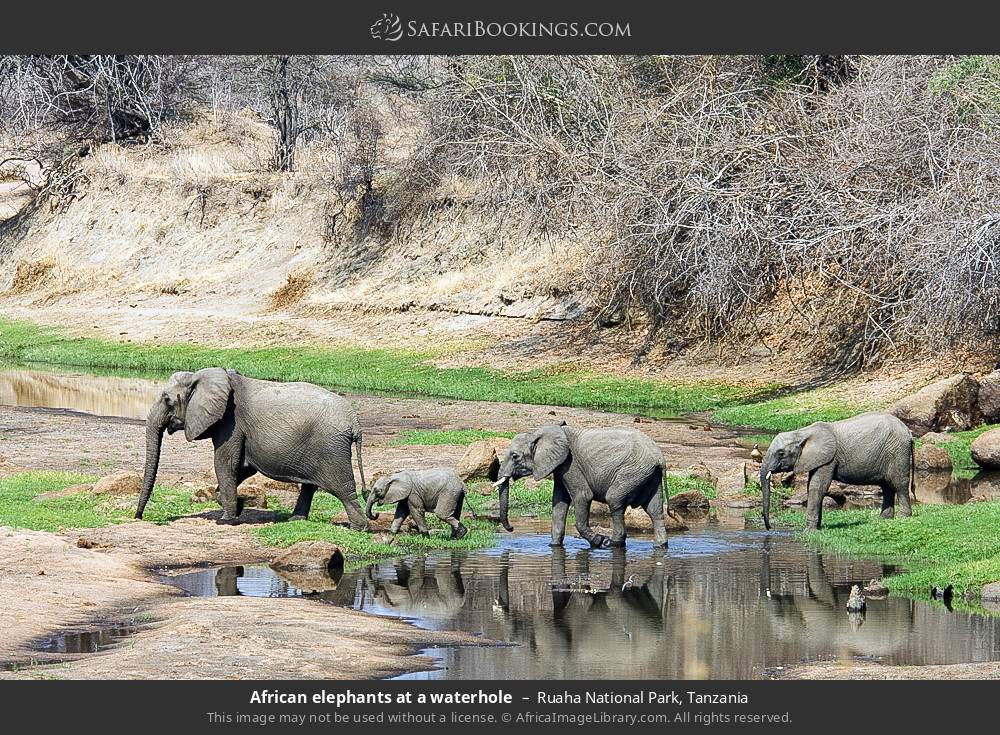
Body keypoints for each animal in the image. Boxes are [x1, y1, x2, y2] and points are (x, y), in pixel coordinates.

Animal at [134, 367, 368, 528]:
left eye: (167, 400)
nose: (138, 517)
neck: (202, 377)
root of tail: (355, 423)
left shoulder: (231, 423)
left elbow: (225, 464)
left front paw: (226, 521)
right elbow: (243, 468)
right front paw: (238, 506)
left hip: (331, 448)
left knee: (343, 489)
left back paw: (358, 528)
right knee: (310, 486)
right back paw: (296, 520)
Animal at [494, 421, 669, 549]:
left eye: (515, 456)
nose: (511, 529)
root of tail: (660, 457)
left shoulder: (571, 465)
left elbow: (582, 496)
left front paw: (598, 541)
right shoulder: (561, 468)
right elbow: (559, 503)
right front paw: (553, 546)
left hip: (632, 473)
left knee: (614, 501)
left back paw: (611, 544)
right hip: (648, 475)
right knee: (654, 510)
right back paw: (660, 546)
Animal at [760, 411, 913, 531]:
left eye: (780, 453)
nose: (770, 528)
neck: (802, 432)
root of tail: (908, 432)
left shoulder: (828, 459)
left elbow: (818, 487)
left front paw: (809, 531)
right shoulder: (818, 459)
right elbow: (812, 487)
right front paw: (817, 528)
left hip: (898, 451)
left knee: (898, 483)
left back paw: (903, 518)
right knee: (887, 487)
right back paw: (884, 519)